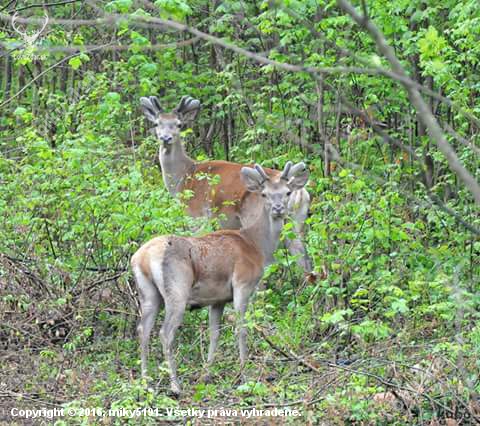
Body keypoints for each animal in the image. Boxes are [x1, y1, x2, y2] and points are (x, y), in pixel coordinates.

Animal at [130, 161, 308, 396]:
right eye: (264, 194)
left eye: (287, 192)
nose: (278, 208)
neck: (257, 246)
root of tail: (142, 257)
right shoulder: (242, 283)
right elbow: (241, 328)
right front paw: (244, 373)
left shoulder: (218, 299)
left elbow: (214, 333)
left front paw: (206, 373)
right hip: (177, 290)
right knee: (165, 333)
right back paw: (175, 385)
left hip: (148, 294)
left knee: (143, 330)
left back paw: (145, 383)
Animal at [140, 95, 312, 272]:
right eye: (156, 123)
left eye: (179, 124)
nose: (165, 138)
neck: (184, 177)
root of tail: (299, 192)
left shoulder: (195, 215)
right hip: (297, 221)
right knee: (304, 259)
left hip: (255, 216)